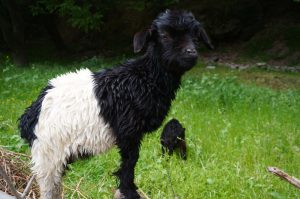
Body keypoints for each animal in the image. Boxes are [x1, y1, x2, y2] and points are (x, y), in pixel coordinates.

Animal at [18, 9, 213, 199]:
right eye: (164, 35)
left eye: (195, 36)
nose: (191, 53)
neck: (144, 78)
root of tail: (29, 116)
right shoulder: (128, 131)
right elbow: (129, 162)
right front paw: (130, 191)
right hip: (49, 153)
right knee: (48, 187)